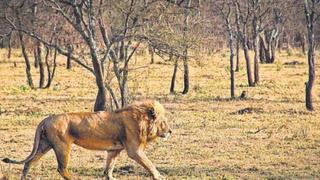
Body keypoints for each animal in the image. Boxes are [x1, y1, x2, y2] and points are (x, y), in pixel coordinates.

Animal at [1, 100, 172, 180]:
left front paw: (110, 177)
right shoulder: (134, 150)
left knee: (29, 162)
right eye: (164, 122)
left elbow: (109, 166)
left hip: (44, 145)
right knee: (61, 168)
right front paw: (159, 176)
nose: (171, 131)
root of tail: (46, 119)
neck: (142, 120)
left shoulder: (114, 149)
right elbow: (149, 164)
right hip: (62, 146)